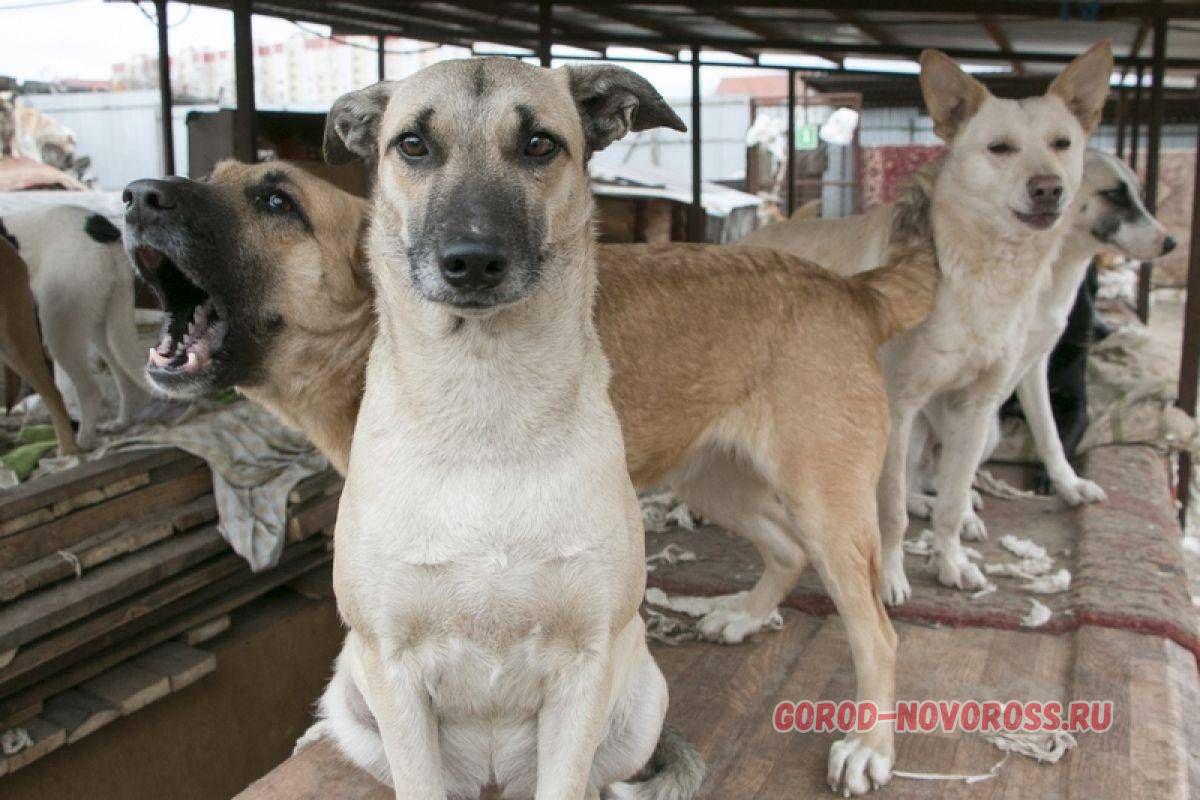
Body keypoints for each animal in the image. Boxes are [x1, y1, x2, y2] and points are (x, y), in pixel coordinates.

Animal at [744, 42, 1108, 599]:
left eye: (1062, 143)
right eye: (1000, 148)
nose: (1049, 189)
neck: (978, 276)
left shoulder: (975, 409)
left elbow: (953, 502)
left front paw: (950, 561)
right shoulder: (900, 407)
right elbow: (890, 510)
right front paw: (892, 578)